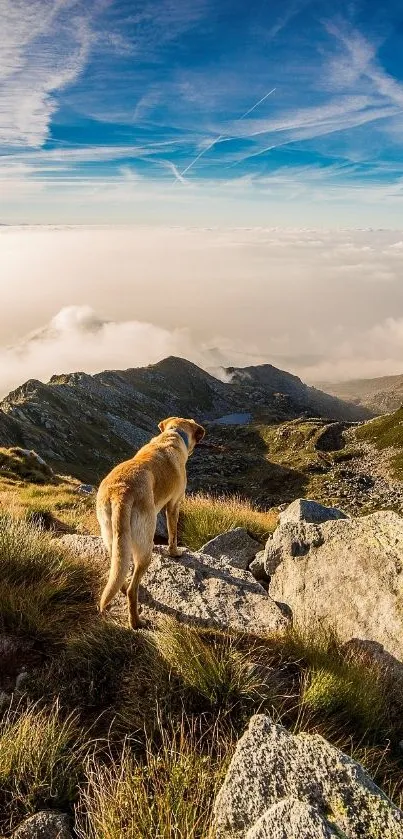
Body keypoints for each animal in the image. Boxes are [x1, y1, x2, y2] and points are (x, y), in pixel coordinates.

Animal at [97, 416, 205, 628]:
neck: (172, 434)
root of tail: (121, 493)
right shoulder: (174, 504)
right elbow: (173, 533)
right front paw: (175, 553)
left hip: (112, 537)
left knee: (118, 571)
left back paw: (121, 589)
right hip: (145, 545)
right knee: (133, 589)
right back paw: (136, 622)